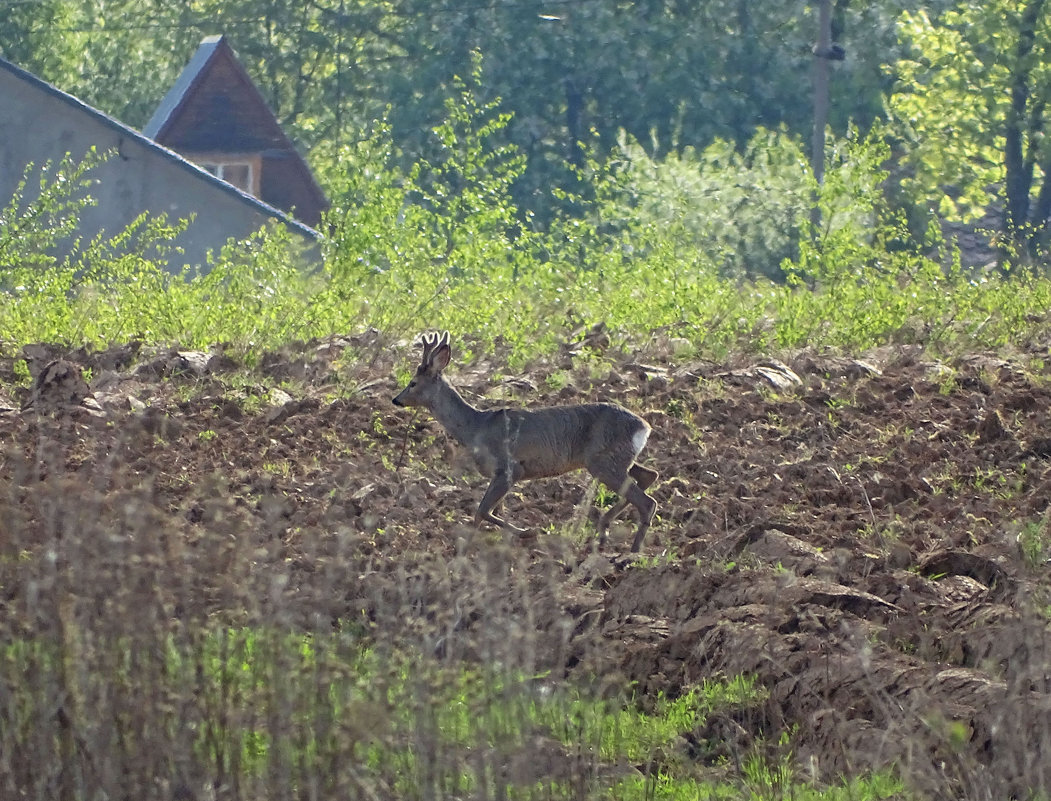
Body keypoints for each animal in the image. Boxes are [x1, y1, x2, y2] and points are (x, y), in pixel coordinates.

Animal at [393, 330, 655, 550]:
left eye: (412, 383)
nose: (396, 400)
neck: (475, 427)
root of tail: (645, 427)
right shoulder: (501, 473)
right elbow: (486, 511)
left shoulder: (510, 468)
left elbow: (483, 511)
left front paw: (524, 532)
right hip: (616, 459)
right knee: (649, 476)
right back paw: (603, 529)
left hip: (602, 461)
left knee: (647, 501)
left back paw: (631, 551)